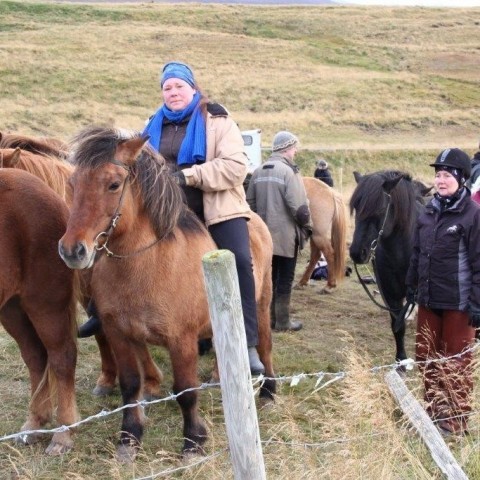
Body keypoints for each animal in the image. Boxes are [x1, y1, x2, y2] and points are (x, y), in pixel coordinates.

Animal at [0, 168, 79, 454]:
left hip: (45, 305)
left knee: (61, 358)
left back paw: (64, 432)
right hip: (12, 309)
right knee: (36, 356)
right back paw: (35, 422)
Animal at [59, 126, 278, 462]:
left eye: (113, 184)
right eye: (73, 184)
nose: (73, 250)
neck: (148, 266)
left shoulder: (182, 340)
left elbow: (186, 391)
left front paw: (193, 442)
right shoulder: (120, 335)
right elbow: (130, 386)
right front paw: (129, 438)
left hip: (263, 304)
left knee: (264, 345)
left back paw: (268, 391)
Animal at [348, 171, 424, 362]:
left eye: (380, 210)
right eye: (356, 208)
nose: (357, 253)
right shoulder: (391, 295)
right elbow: (398, 326)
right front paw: (401, 361)